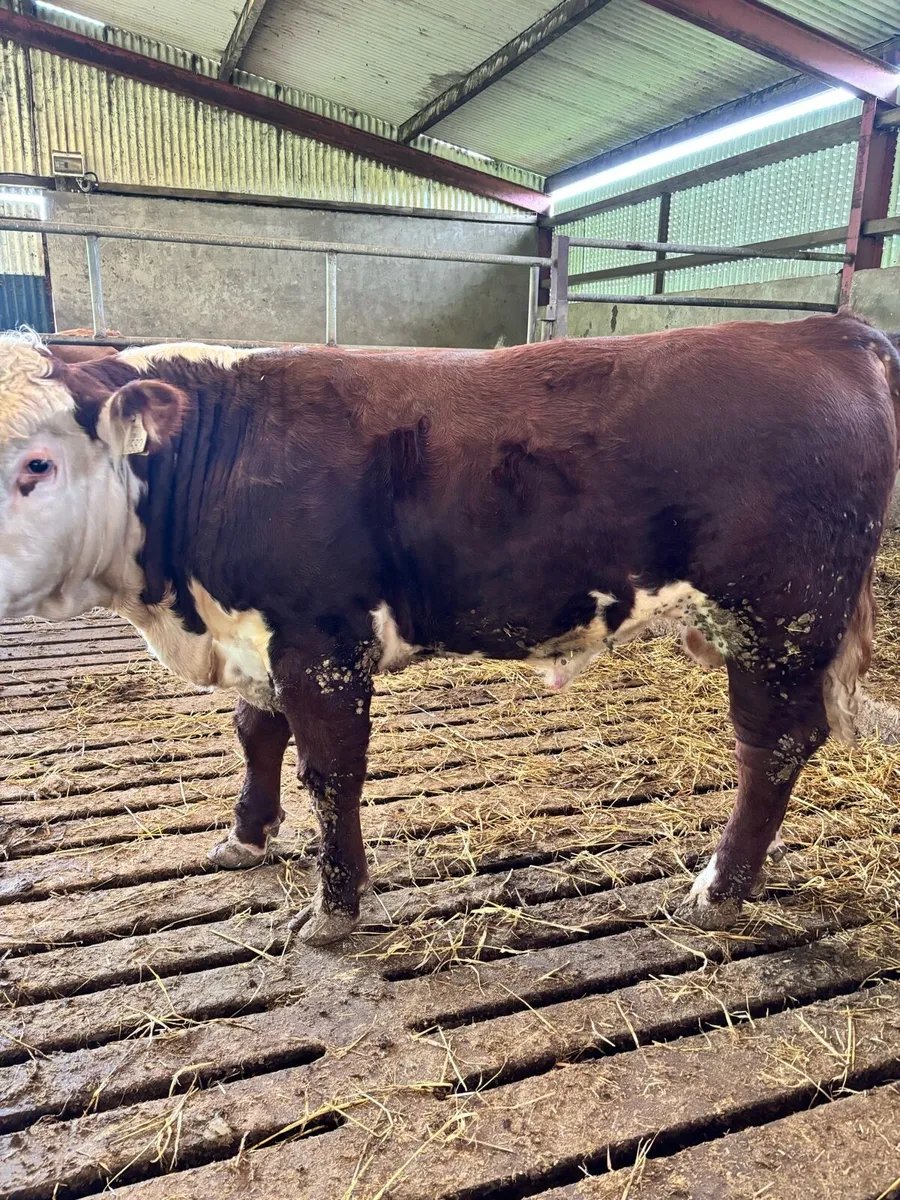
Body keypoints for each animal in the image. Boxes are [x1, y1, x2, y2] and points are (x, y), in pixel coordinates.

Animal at [0, 313, 896, 945]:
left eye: (35, 464)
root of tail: (827, 331)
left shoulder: (322, 640)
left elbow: (330, 774)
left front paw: (334, 909)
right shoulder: (256, 634)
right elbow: (255, 733)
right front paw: (246, 837)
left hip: (780, 616)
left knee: (770, 747)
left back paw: (720, 889)